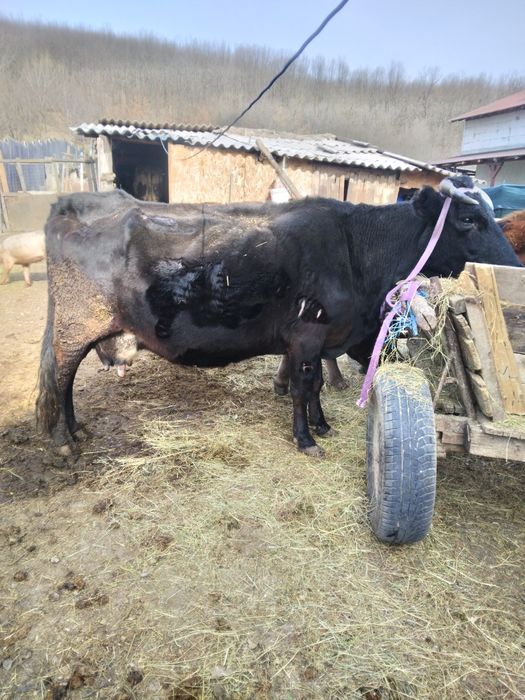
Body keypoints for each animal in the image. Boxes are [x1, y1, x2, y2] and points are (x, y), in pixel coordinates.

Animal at [36, 176, 522, 458]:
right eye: (468, 218)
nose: (513, 267)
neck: (356, 252)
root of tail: (66, 209)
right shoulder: (307, 334)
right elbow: (304, 386)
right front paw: (306, 439)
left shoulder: (319, 339)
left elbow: (317, 383)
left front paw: (322, 425)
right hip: (76, 326)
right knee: (61, 377)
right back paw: (63, 443)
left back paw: (76, 430)